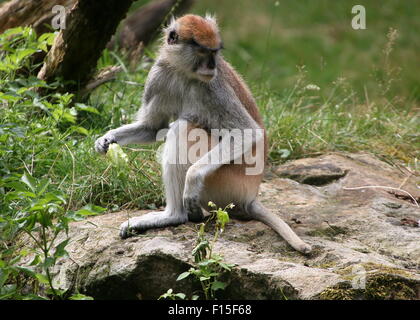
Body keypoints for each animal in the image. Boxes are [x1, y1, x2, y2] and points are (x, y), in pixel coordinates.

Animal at [96, 14, 312, 255]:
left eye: (215, 52)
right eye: (203, 52)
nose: (212, 65)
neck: (184, 73)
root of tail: (251, 195)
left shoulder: (213, 88)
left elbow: (246, 132)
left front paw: (191, 180)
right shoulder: (159, 77)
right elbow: (152, 127)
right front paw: (107, 139)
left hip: (225, 184)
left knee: (184, 129)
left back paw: (173, 215)